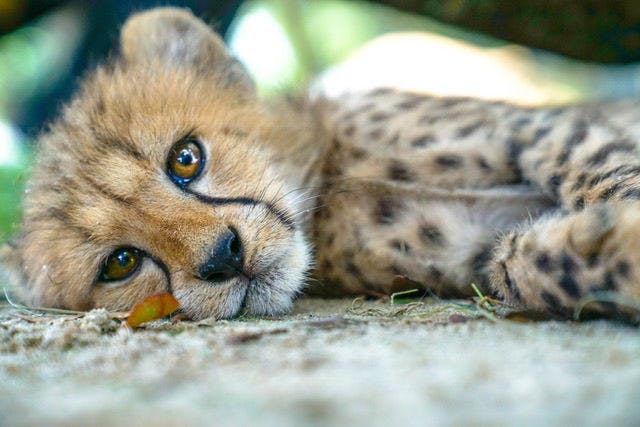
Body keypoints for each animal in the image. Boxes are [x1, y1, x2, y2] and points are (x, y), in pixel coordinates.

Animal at [2, 7, 640, 322]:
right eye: (121, 263)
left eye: (185, 158)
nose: (224, 257)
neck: (327, 185)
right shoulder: (470, 247)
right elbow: (522, 265)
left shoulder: (537, 131)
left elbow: (606, 172)